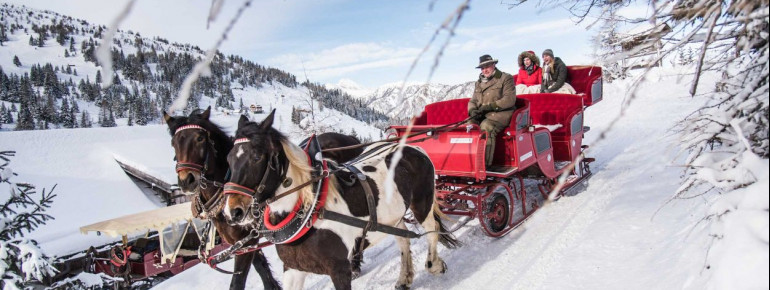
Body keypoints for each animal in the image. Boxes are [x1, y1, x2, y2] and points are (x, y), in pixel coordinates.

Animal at [161, 108, 364, 290]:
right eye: (173, 143)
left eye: (200, 138)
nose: (187, 180)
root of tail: (350, 138)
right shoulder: (241, 243)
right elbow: (261, 267)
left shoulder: (248, 241)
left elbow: (238, 281)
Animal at [219, 110, 456, 288]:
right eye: (228, 158)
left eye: (257, 156)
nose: (233, 212)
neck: (309, 211)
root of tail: (411, 146)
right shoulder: (293, 269)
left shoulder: (339, 268)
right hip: (393, 216)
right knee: (403, 240)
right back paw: (405, 277)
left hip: (422, 204)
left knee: (432, 230)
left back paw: (434, 264)